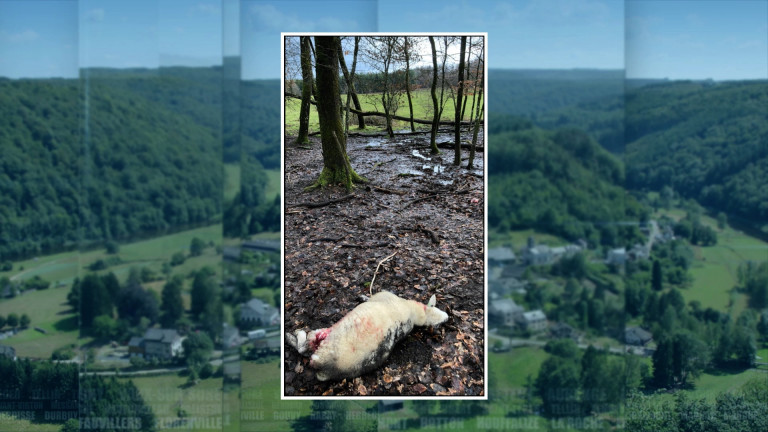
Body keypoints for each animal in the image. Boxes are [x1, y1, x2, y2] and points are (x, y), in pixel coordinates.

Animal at [284, 290, 448, 382]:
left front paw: (362, 297)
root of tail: (325, 366)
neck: (414, 313)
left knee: (304, 348)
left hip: (323, 338)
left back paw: (295, 335)